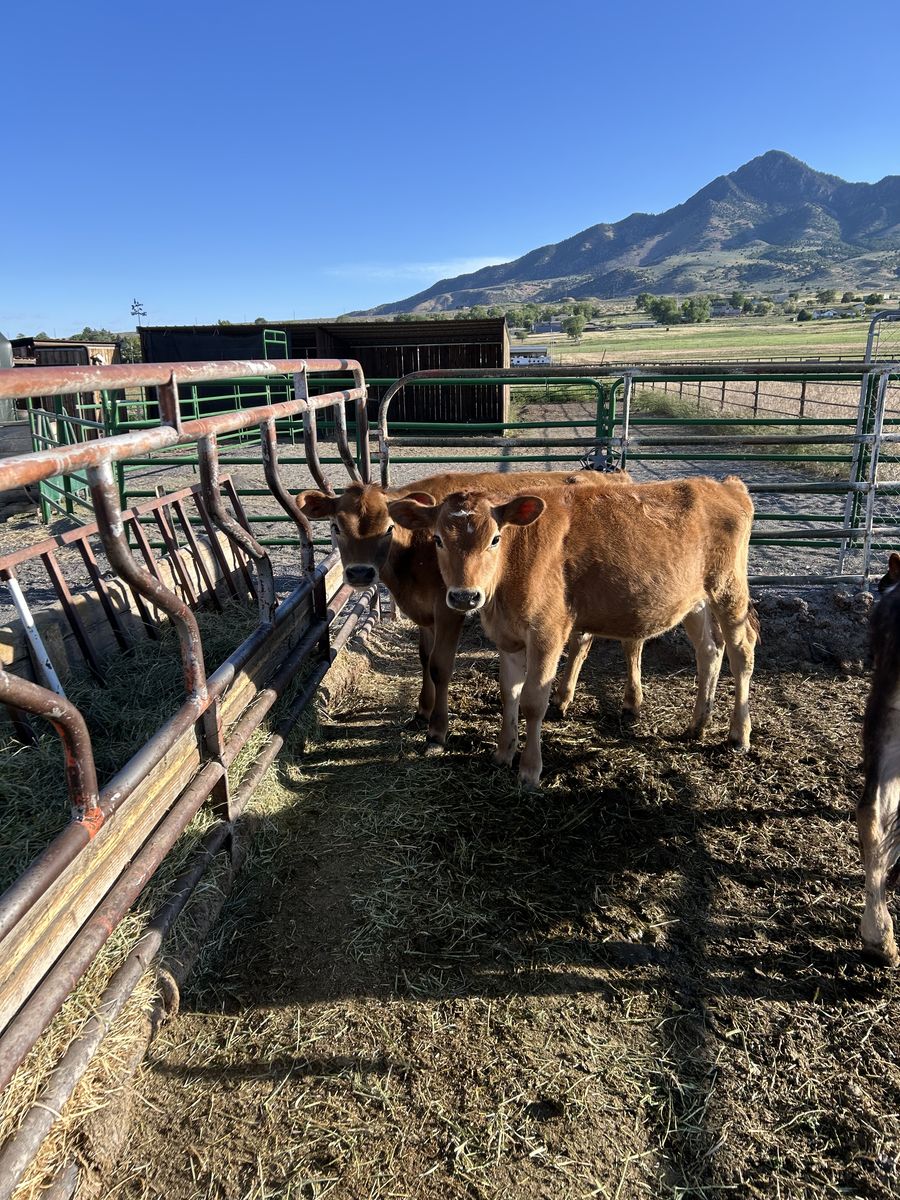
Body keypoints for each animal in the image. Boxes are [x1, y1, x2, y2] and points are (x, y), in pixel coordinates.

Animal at [298, 470, 640, 749]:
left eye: (388, 528)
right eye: (336, 527)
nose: (360, 573)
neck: (414, 550)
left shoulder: (449, 607)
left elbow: (440, 666)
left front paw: (437, 731)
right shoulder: (425, 614)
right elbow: (425, 660)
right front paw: (421, 711)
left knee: (625, 642)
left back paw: (628, 704)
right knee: (583, 641)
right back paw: (562, 700)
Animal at [388, 477, 757, 787]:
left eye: (494, 538)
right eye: (437, 539)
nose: (464, 596)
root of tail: (725, 485)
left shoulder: (547, 632)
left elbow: (533, 701)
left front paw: (530, 769)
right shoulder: (508, 638)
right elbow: (510, 693)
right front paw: (504, 753)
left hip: (729, 590)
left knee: (741, 652)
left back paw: (739, 734)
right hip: (694, 600)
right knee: (709, 650)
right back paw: (698, 723)